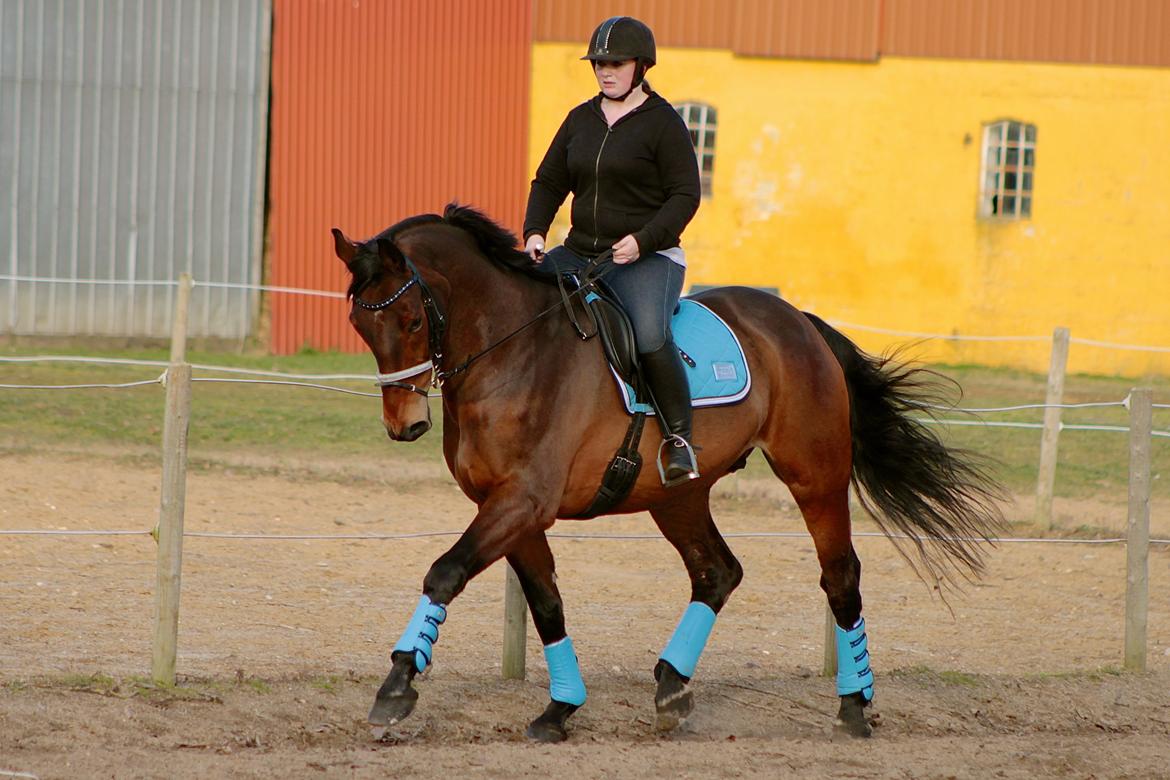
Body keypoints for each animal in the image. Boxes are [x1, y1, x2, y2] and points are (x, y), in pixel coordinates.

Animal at [332, 203, 1006, 743]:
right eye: (360, 326)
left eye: (412, 321)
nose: (405, 425)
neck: (511, 353)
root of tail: (797, 319)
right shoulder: (507, 508)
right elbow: (546, 603)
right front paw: (559, 710)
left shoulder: (523, 501)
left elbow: (445, 572)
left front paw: (396, 685)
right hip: (676, 495)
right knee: (717, 572)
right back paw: (672, 688)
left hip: (814, 477)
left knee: (839, 577)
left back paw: (853, 707)